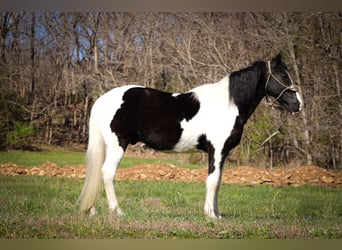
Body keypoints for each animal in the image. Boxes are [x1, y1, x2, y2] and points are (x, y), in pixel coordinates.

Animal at [78, 53, 302, 219]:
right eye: (283, 76)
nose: (298, 104)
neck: (228, 105)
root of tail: (103, 99)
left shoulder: (223, 153)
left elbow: (218, 181)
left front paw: (217, 214)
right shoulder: (216, 150)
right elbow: (212, 181)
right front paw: (210, 215)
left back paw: (93, 210)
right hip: (118, 145)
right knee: (107, 173)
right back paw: (117, 212)